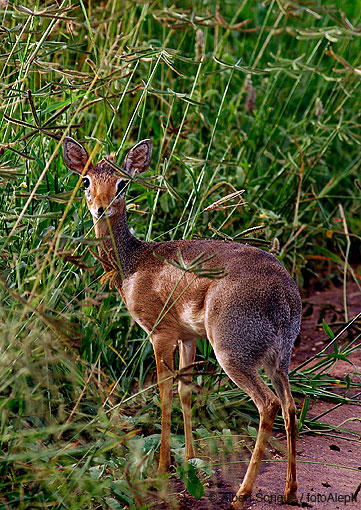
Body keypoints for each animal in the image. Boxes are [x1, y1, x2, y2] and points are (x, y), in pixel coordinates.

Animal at [62, 137, 300, 508]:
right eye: (86, 180)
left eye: (122, 183)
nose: (101, 208)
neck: (133, 262)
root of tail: (284, 294)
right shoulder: (188, 337)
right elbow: (185, 391)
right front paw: (188, 458)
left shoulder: (160, 334)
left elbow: (164, 393)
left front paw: (162, 466)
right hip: (279, 359)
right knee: (290, 406)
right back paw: (290, 490)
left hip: (233, 354)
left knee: (269, 405)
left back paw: (242, 493)